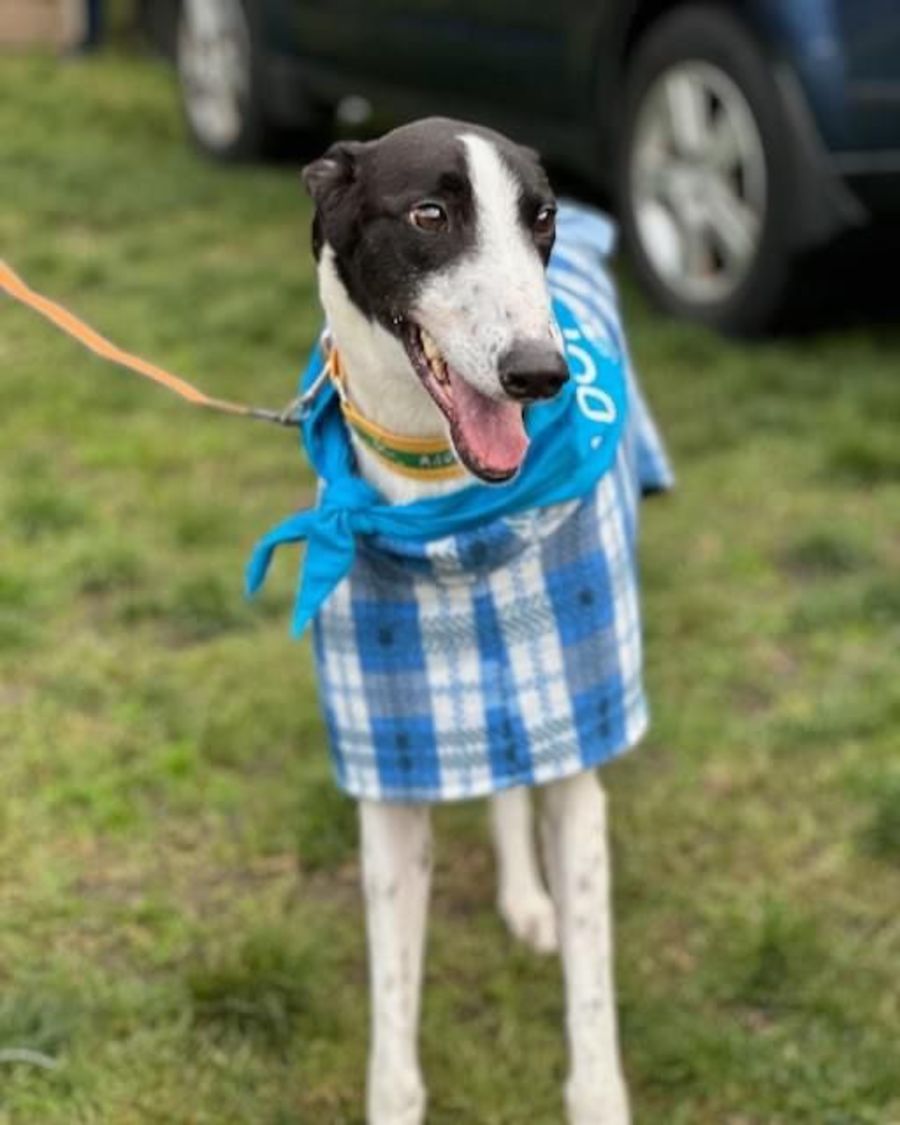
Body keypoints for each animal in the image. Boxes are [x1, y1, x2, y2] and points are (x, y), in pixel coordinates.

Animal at [278, 117, 671, 1125]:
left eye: (542, 218)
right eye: (429, 214)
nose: (540, 373)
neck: (448, 516)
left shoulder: (580, 745)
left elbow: (592, 988)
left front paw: (597, 1091)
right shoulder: (388, 777)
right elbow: (392, 1003)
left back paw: (528, 900)